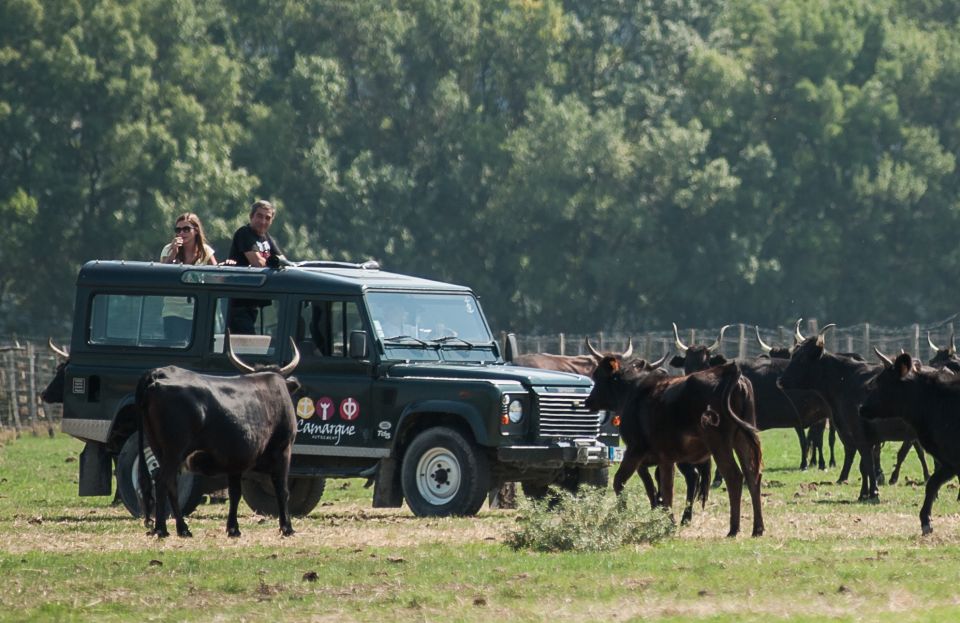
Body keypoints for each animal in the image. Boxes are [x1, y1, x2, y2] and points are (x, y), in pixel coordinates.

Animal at [137, 338, 298, 540]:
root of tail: (157, 374)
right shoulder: (283, 450)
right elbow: (282, 490)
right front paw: (287, 528)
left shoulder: (236, 461)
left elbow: (235, 493)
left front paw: (233, 528)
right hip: (174, 450)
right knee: (161, 481)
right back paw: (162, 529)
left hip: (159, 448)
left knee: (170, 483)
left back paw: (182, 529)